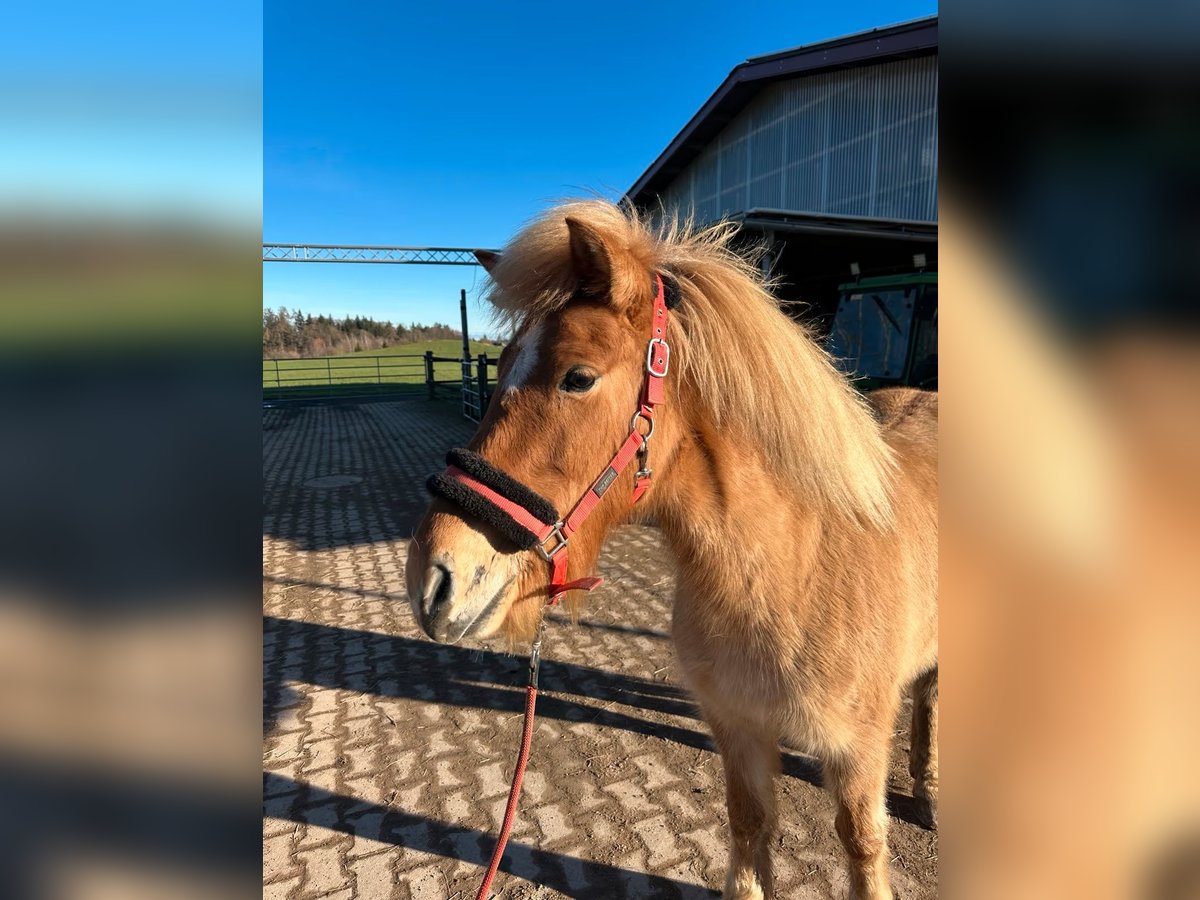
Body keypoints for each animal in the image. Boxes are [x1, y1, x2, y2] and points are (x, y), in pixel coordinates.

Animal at [408, 200, 940, 897]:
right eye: (499, 370)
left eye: (578, 377)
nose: (433, 580)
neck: (792, 571)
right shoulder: (736, 729)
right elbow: (748, 827)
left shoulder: (858, 752)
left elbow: (863, 845)